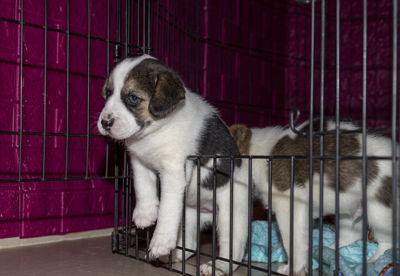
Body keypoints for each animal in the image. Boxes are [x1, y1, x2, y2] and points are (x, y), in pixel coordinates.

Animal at [97, 55, 247, 274]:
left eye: (133, 98)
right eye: (108, 93)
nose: (105, 123)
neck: (156, 131)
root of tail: (207, 214)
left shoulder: (174, 173)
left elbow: (167, 210)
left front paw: (160, 242)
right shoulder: (139, 162)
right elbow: (143, 187)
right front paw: (145, 213)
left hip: (231, 216)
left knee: (234, 251)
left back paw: (217, 267)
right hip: (188, 216)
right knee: (191, 244)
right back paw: (175, 256)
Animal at [228, 123, 394, 276]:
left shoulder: (289, 203)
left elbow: (292, 242)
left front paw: (293, 268)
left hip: (378, 212)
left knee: (387, 243)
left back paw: (373, 261)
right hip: (348, 213)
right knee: (350, 236)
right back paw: (328, 250)